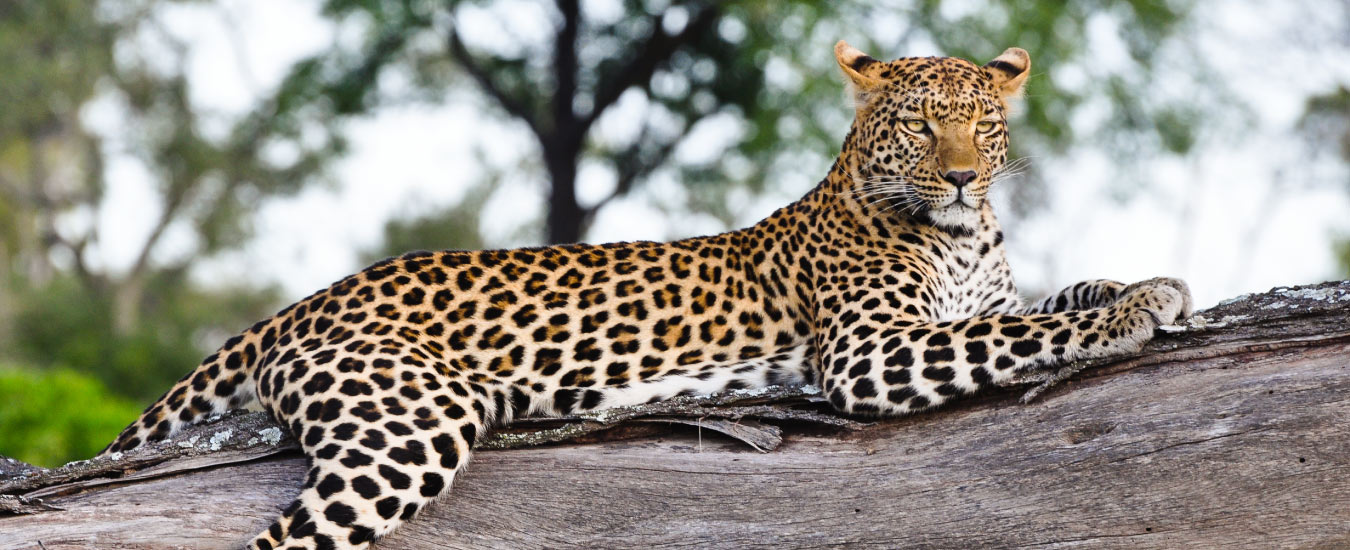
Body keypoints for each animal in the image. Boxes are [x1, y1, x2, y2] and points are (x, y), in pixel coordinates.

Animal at [100, 41, 1192, 550]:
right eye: (921, 125)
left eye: (980, 124)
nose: (964, 177)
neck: (962, 235)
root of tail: (309, 299)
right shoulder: (872, 352)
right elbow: (1020, 330)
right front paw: (1131, 311)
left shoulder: (970, 296)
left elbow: (1041, 294)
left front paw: (1156, 281)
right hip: (407, 423)